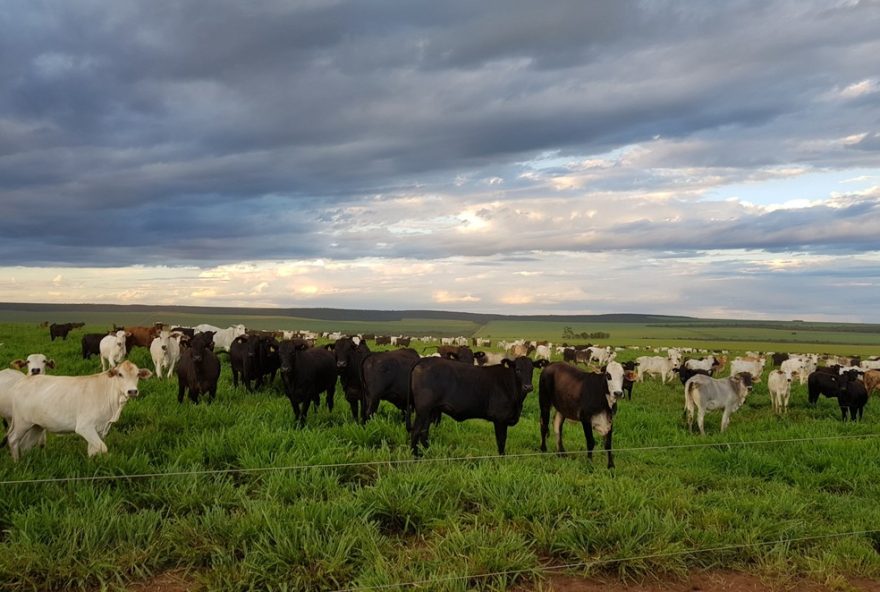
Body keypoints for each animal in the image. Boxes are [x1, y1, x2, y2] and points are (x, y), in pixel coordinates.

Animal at [5, 358, 153, 460]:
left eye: (138, 374)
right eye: (120, 374)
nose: (132, 391)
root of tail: (24, 381)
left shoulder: (99, 429)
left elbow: (93, 451)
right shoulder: (84, 427)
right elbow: (103, 448)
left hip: (36, 425)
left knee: (25, 446)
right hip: (21, 422)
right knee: (12, 439)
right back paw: (17, 463)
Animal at [406, 356, 536, 458]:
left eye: (532, 369)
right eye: (518, 369)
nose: (528, 387)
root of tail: (424, 360)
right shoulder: (500, 419)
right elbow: (501, 441)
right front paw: (501, 460)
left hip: (429, 411)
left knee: (424, 432)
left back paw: (428, 452)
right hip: (423, 410)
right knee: (415, 431)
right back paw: (415, 456)